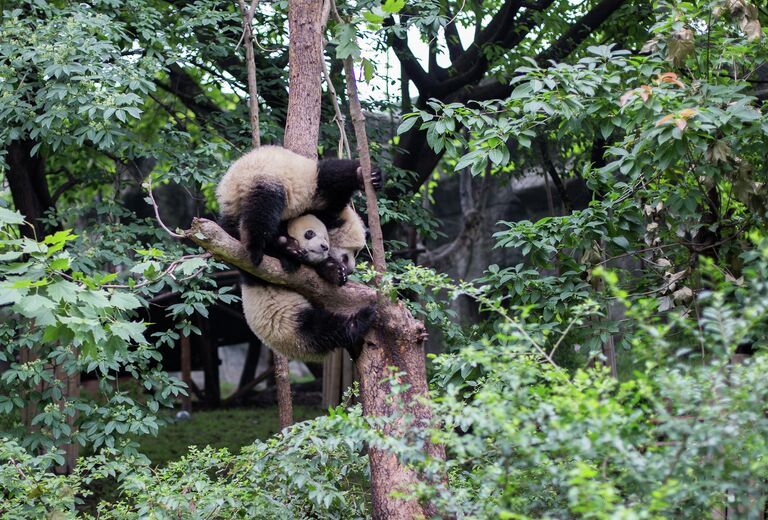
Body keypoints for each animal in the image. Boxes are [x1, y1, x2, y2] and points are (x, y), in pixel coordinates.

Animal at [214, 142, 382, 274]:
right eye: (353, 252)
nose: (351, 269)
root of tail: (237, 180)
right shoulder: (318, 199)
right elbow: (330, 176)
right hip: (268, 181)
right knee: (261, 214)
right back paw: (255, 249)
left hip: (231, 206)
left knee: (231, 228)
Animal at [238, 213, 374, 360]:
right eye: (310, 233)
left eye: (326, 237)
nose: (324, 246)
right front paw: (287, 249)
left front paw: (336, 271)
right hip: (293, 325)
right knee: (326, 330)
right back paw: (363, 317)